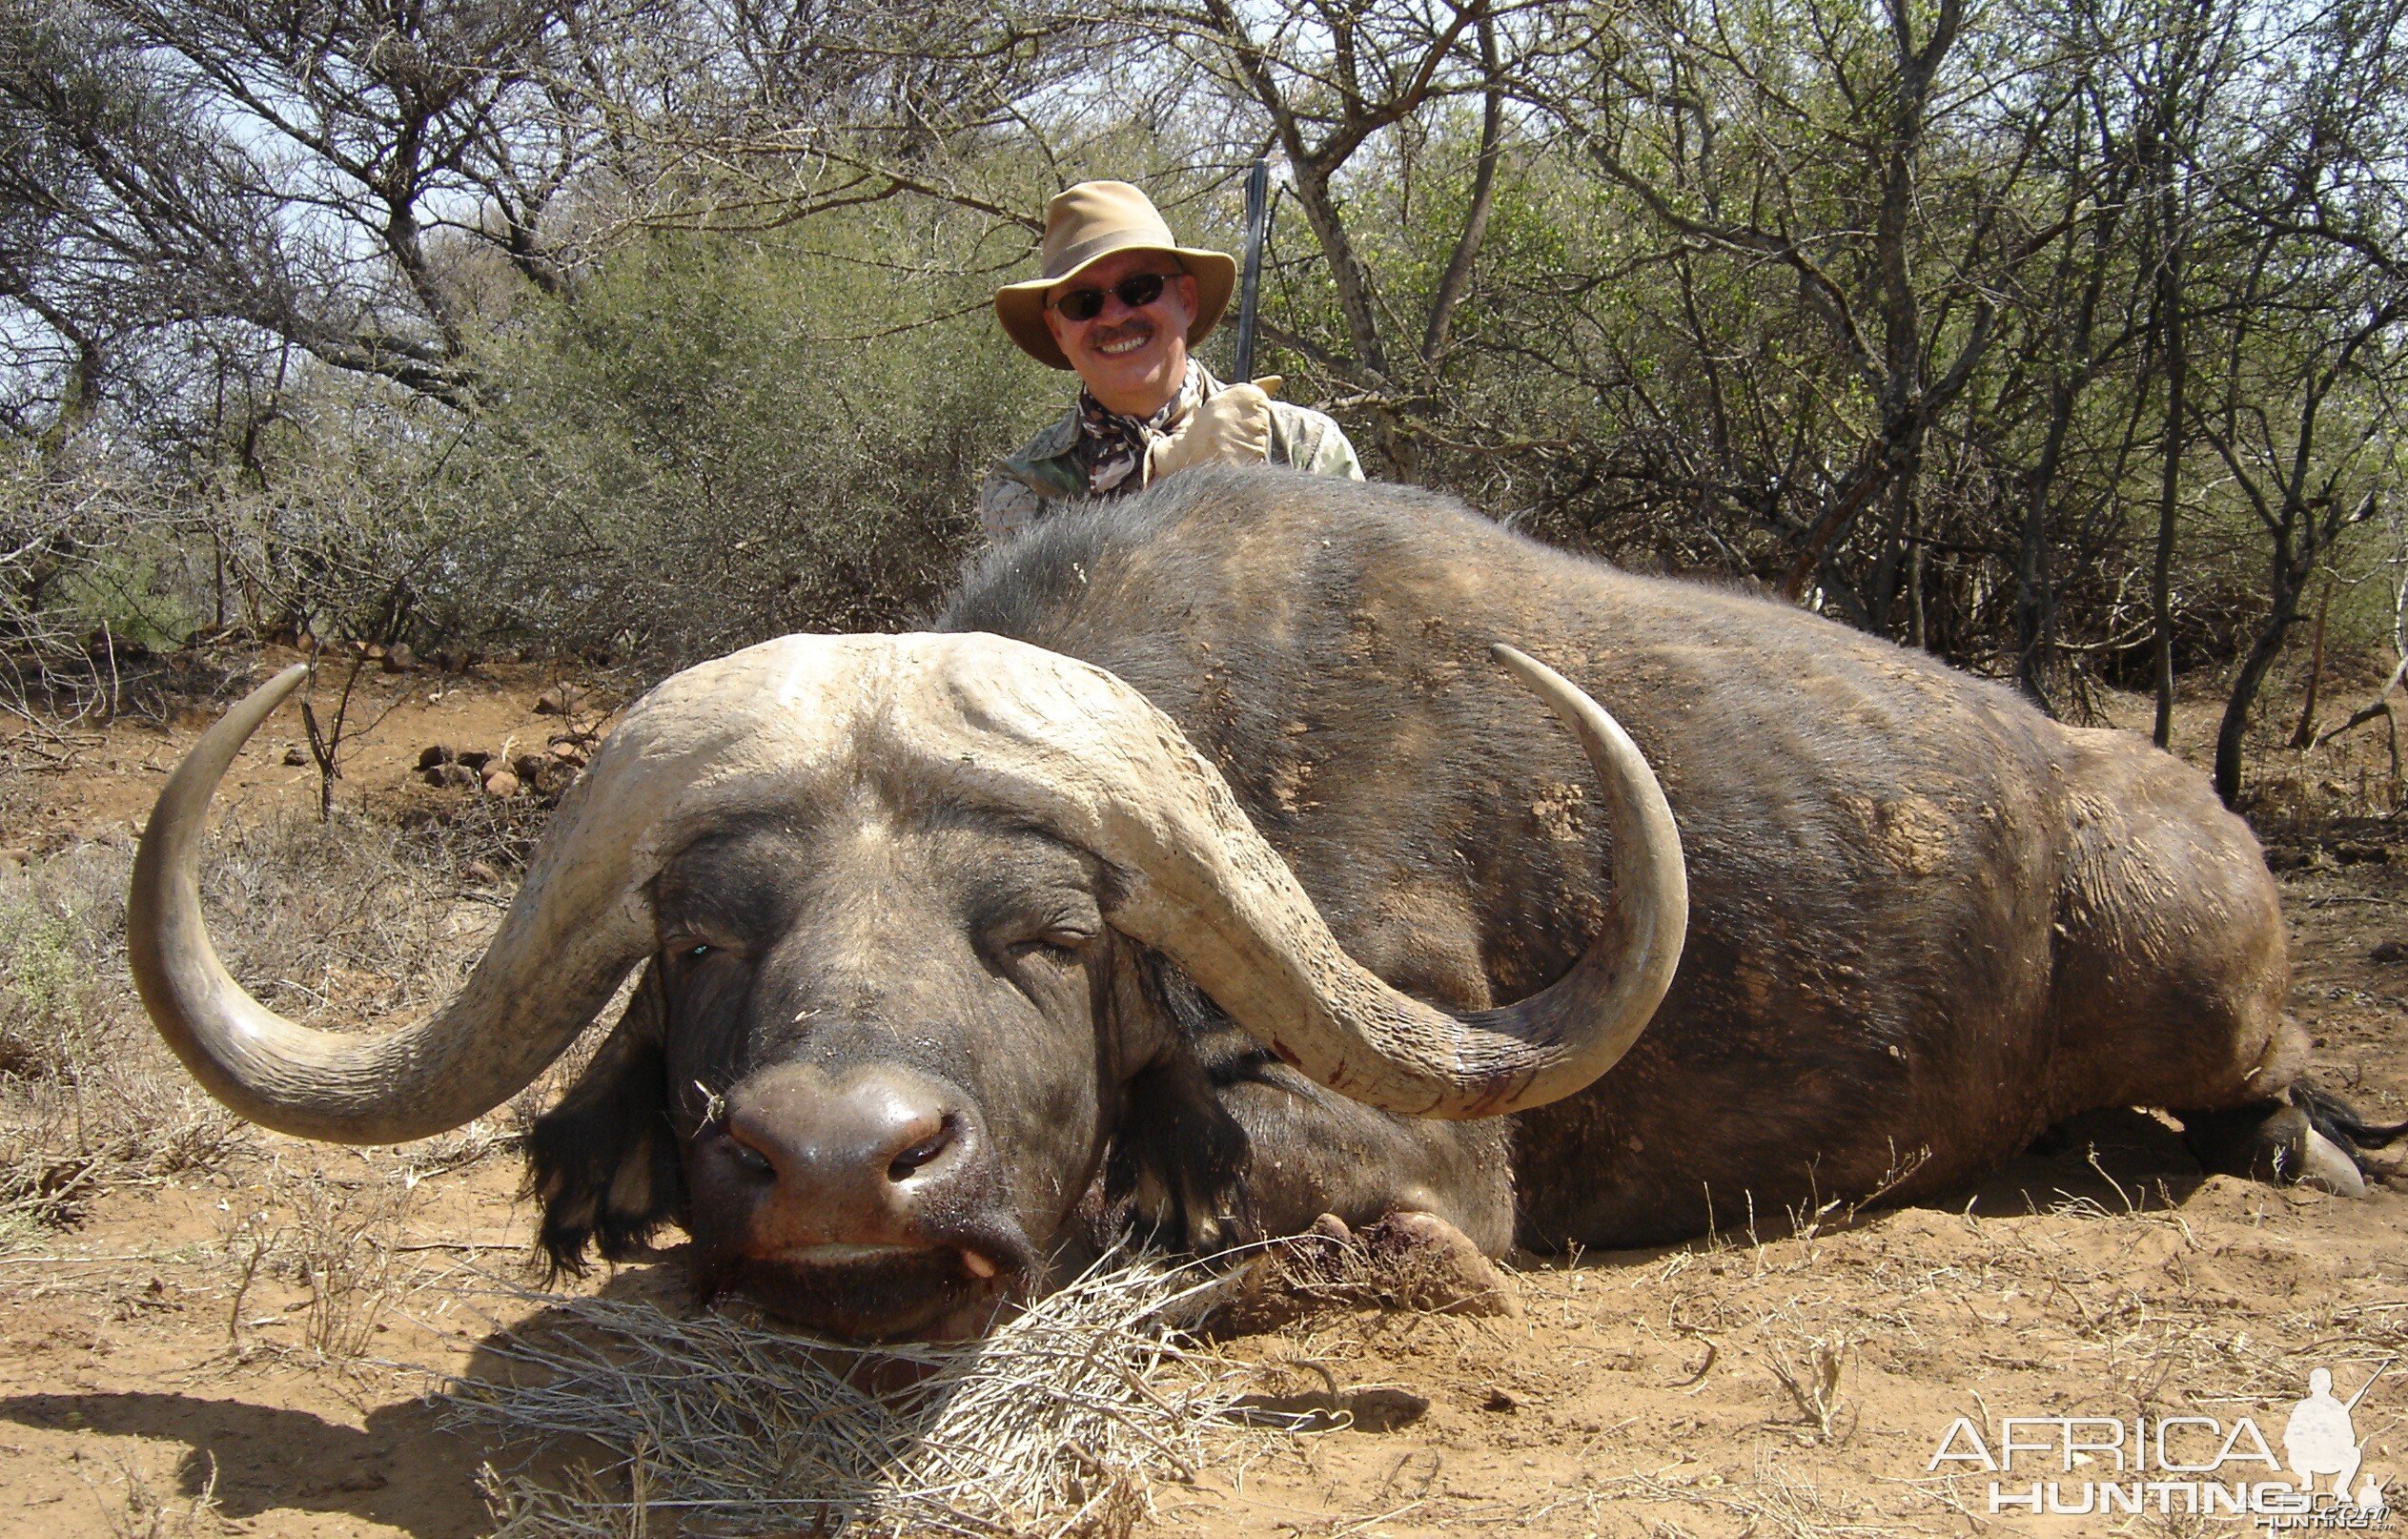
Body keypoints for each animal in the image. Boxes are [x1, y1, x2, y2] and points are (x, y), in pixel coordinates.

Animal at [127, 467, 2388, 1339]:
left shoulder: (1423, 1145)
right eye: (698, 941)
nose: (841, 1165)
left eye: (1048, 937)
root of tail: (2141, 794)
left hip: (2213, 995)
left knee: (2264, 1091)